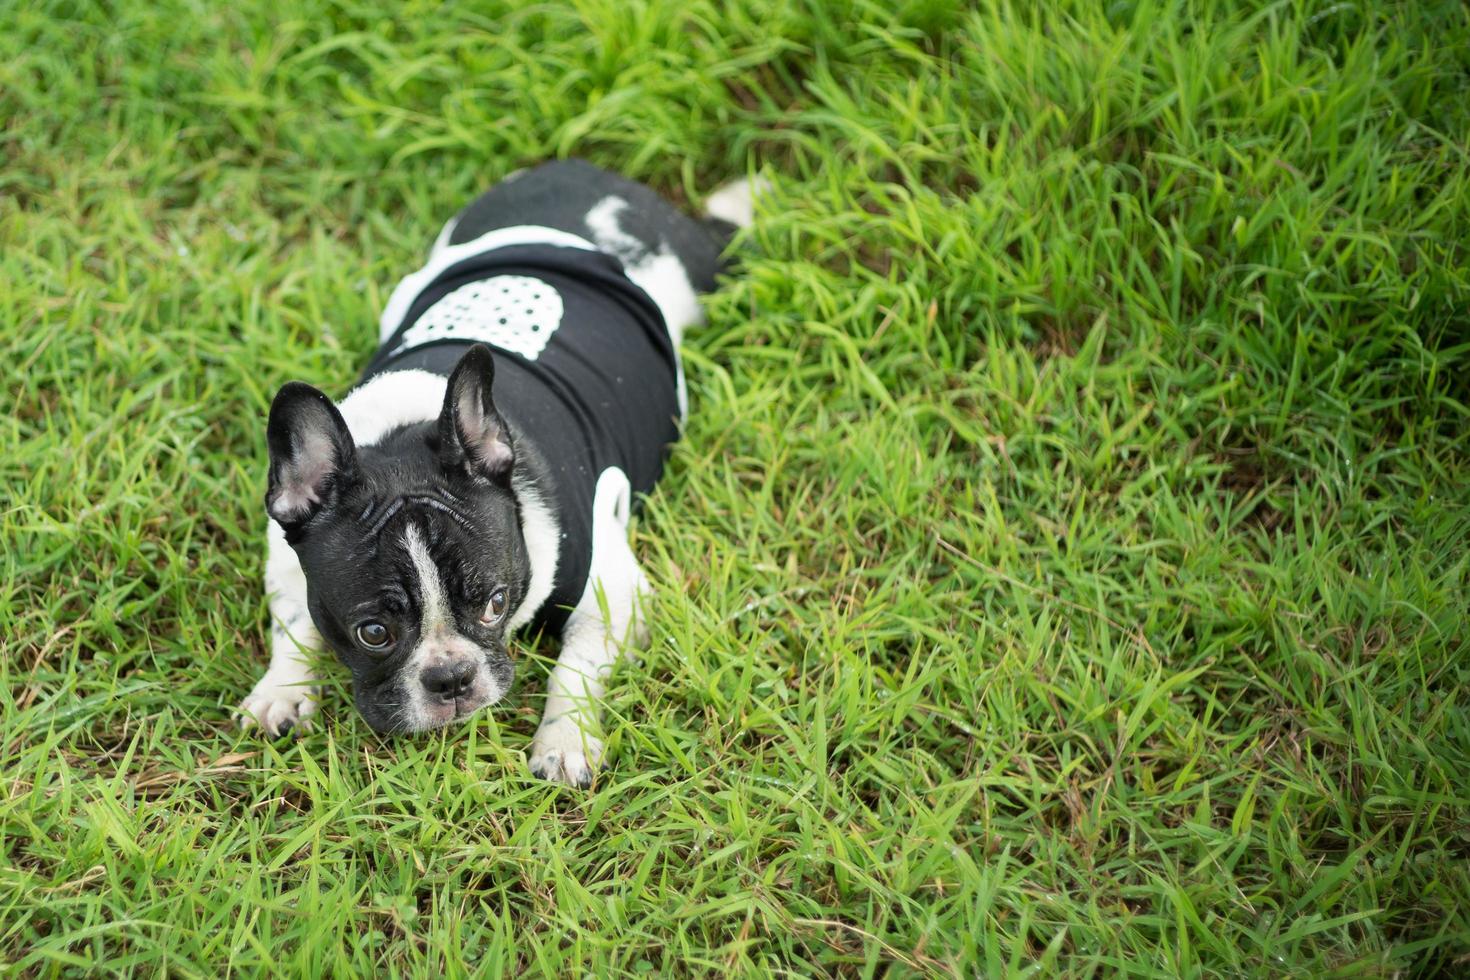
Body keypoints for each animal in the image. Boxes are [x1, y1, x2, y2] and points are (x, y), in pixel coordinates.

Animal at [239, 163, 758, 787]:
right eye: (374, 633)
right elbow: (295, 625)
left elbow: (575, 667)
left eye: (495, 602)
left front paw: (565, 740)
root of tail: (591, 180)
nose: (451, 678)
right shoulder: (285, 562)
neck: (400, 434)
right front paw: (282, 688)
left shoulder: (614, 596)